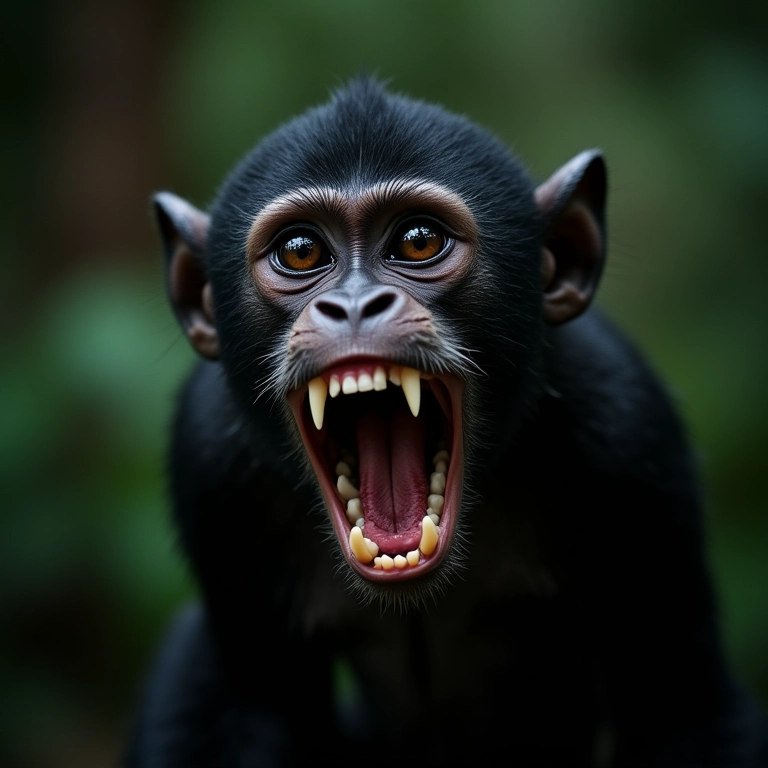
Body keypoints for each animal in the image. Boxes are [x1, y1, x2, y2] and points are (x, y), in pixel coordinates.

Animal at [126, 76, 768, 767]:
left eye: (418, 241)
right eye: (300, 253)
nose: (355, 304)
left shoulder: (630, 433)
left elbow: (687, 716)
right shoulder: (209, 467)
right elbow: (246, 710)